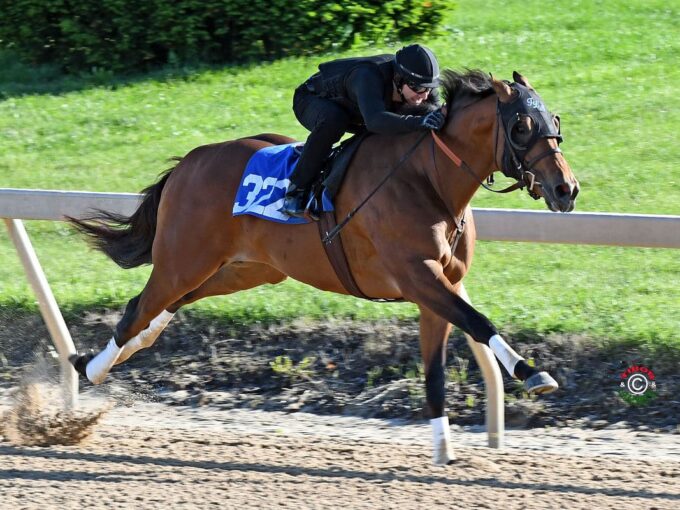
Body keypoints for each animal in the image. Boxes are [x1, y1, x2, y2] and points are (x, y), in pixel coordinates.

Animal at [67, 68, 580, 466]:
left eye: (553, 120)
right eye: (521, 126)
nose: (566, 189)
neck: (428, 178)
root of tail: (188, 162)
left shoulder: (438, 287)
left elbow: (438, 368)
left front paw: (443, 448)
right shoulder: (419, 277)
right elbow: (480, 321)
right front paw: (534, 374)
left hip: (245, 268)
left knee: (162, 310)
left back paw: (108, 359)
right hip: (184, 259)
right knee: (138, 308)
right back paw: (89, 370)